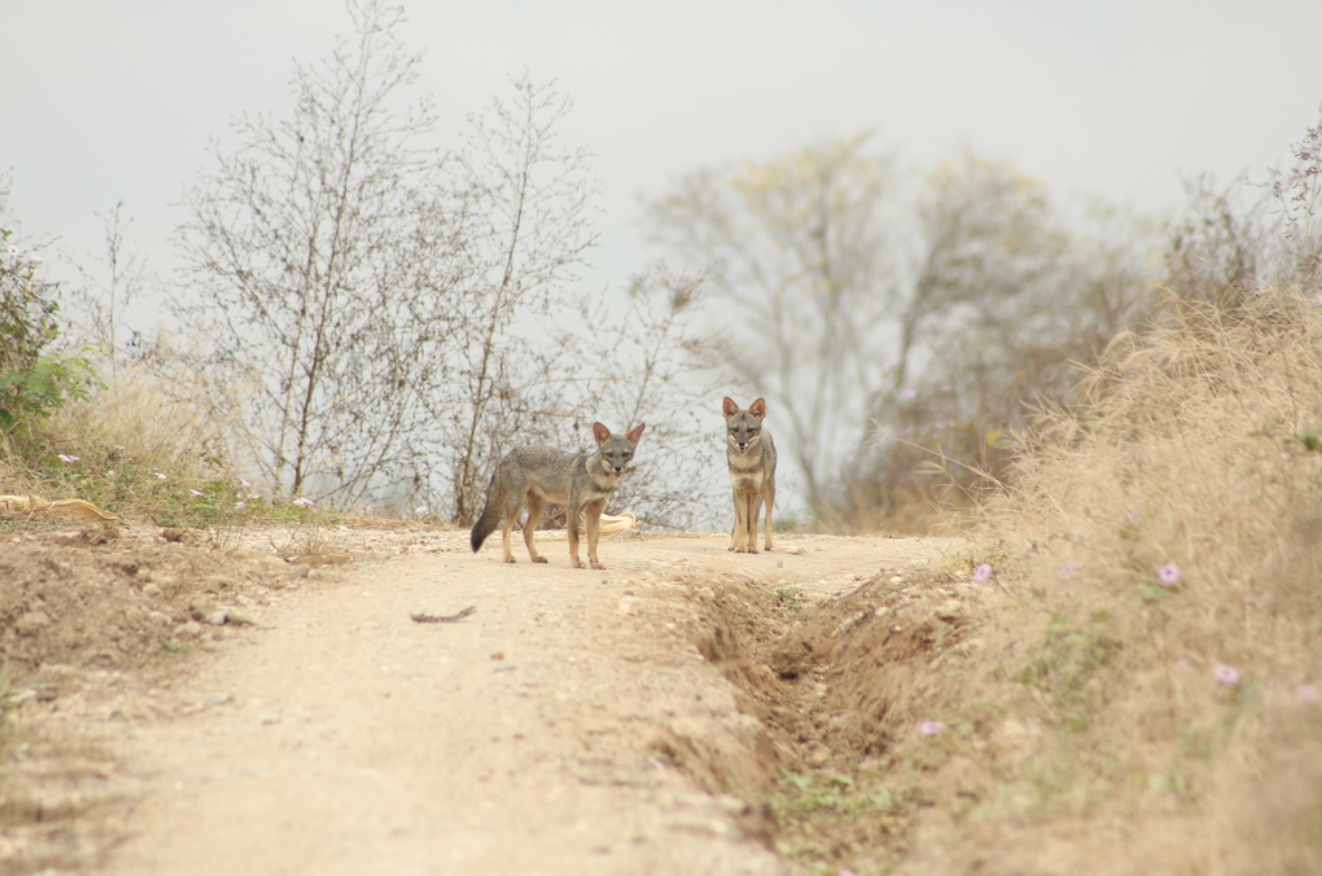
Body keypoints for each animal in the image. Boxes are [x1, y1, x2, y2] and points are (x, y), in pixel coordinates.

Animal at [469, 422, 645, 570]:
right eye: (609, 454)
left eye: (625, 455)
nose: (618, 468)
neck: (598, 481)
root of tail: (507, 455)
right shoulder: (573, 509)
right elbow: (575, 539)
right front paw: (576, 563)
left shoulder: (594, 513)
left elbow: (593, 542)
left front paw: (595, 563)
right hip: (516, 505)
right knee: (505, 530)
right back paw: (508, 557)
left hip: (539, 507)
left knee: (526, 531)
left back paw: (535, 557)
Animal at [723, 397, 776, 553]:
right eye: (735, 429)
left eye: (751, 430)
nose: (741, 443)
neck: (745, 465)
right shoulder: (740, 490)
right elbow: (742, 524)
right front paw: (741, 546)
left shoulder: (756, 491)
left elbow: (753, 523)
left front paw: (752, 547)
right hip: (735, 495)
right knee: (737, 520)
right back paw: (734, 544)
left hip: (769, 491)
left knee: (768, 518)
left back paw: (768, 544)